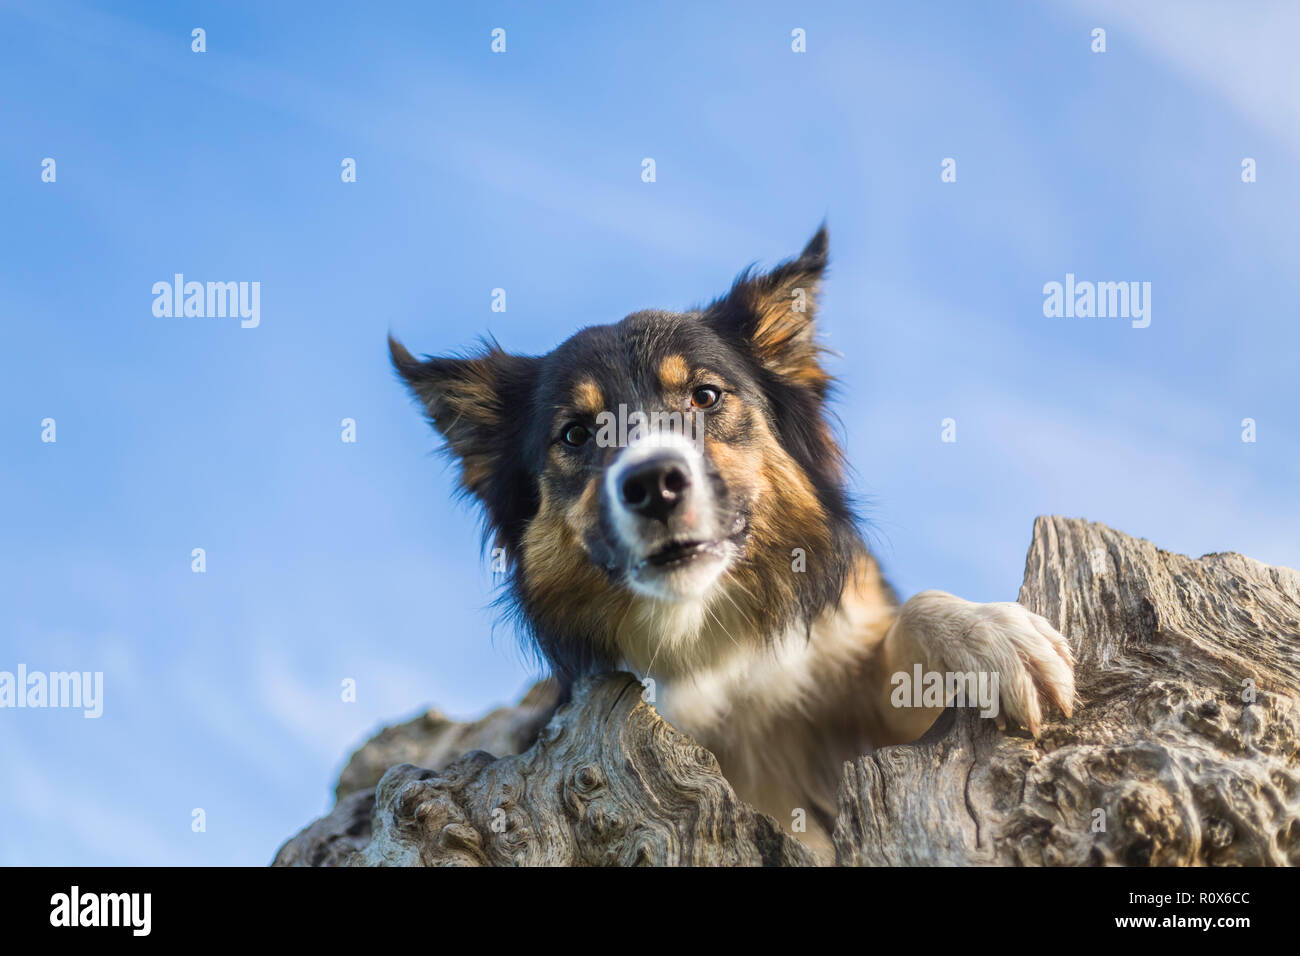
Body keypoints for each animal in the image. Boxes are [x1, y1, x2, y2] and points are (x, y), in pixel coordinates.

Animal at [387, 227, 1076, 858]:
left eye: (705, 395)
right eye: (577, 434)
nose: (654, 485)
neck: (707, 637)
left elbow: (910, 632)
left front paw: (987, 632)